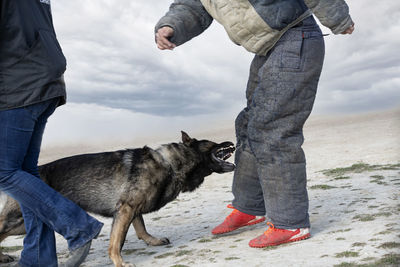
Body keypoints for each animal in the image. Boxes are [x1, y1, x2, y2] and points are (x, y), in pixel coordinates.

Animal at [0, 132, 234, 267]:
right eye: (213, 143)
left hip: (27, 224)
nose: (232, 142)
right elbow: (116, 242)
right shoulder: (125, 210)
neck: (170, 165)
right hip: (18, 221)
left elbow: (141, 227)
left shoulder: (132, 209)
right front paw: (119, 262)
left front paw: (152, 240)